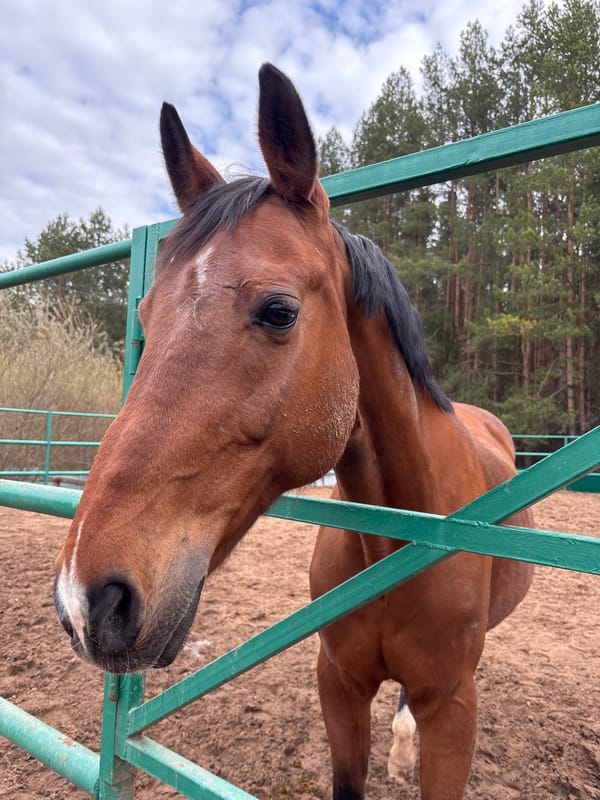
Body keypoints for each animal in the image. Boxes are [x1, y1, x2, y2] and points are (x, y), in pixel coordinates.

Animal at [54, 63, 534, 799]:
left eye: (278, 311)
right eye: (145, 314)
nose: (86, 601)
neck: (402, 540)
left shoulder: (453, 706)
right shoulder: (337, 684)